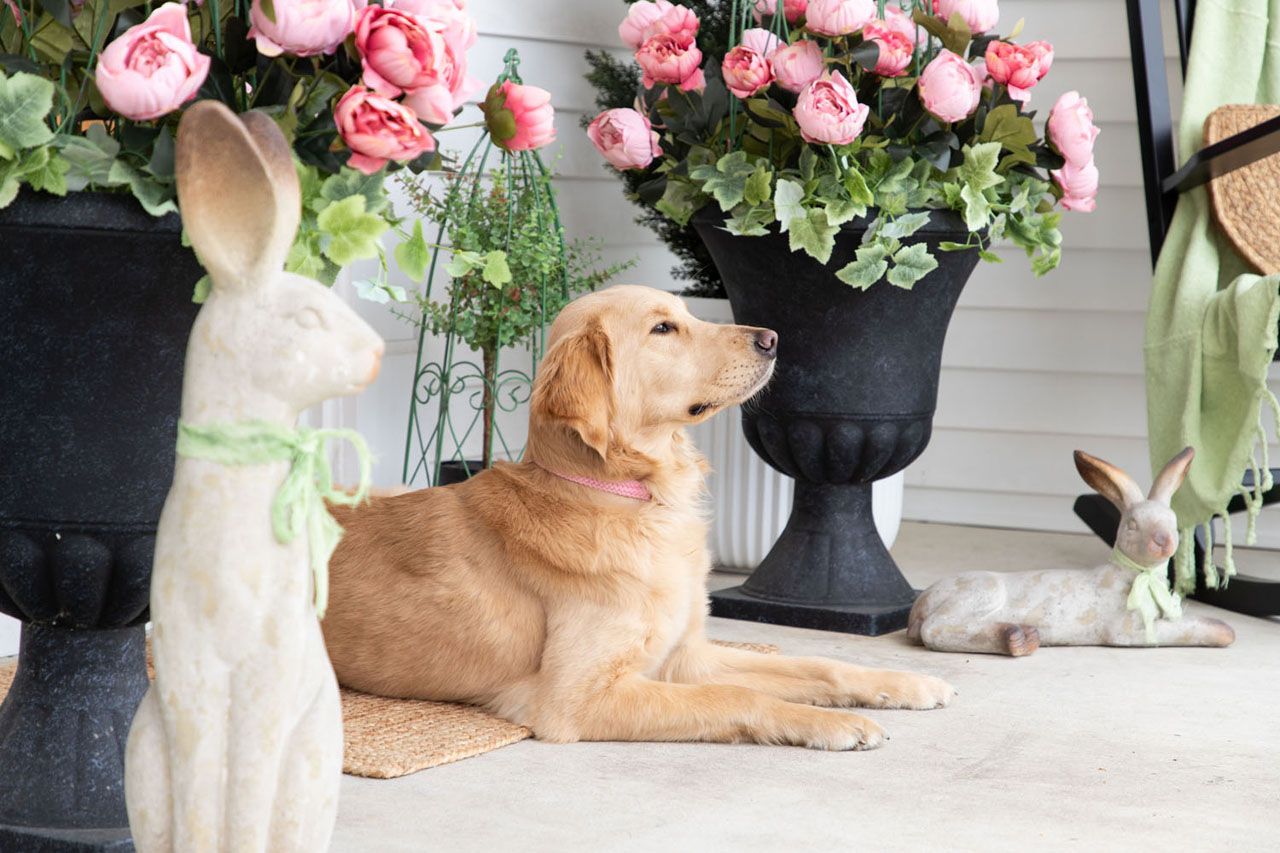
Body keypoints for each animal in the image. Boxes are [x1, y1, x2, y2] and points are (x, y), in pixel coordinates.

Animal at [325, 281, 957, 747]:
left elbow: (818, 667)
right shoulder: (577, 698)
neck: (637, 501)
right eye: (663, 328)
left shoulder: (686, 656)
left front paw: (902, 683)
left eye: (687, 315)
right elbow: (738, 696)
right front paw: (831, 723)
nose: (772, 338)